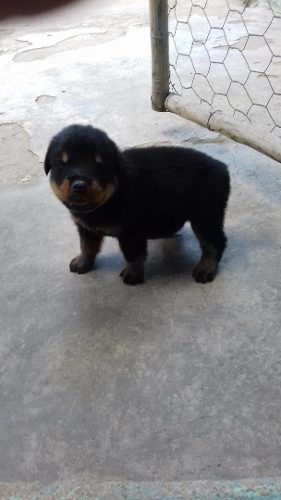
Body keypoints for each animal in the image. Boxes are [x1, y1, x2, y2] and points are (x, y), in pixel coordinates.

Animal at [44, 125, 230, 286]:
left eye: (98, 164)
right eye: (63, 163)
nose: (79, 185)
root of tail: (222, 166)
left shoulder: (131, 232)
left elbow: (133, 255)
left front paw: (132, 275)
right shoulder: (85, 228)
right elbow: (87, 246)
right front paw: (82, 262)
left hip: (206, 215)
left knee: (214, 242)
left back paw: (206, 268)